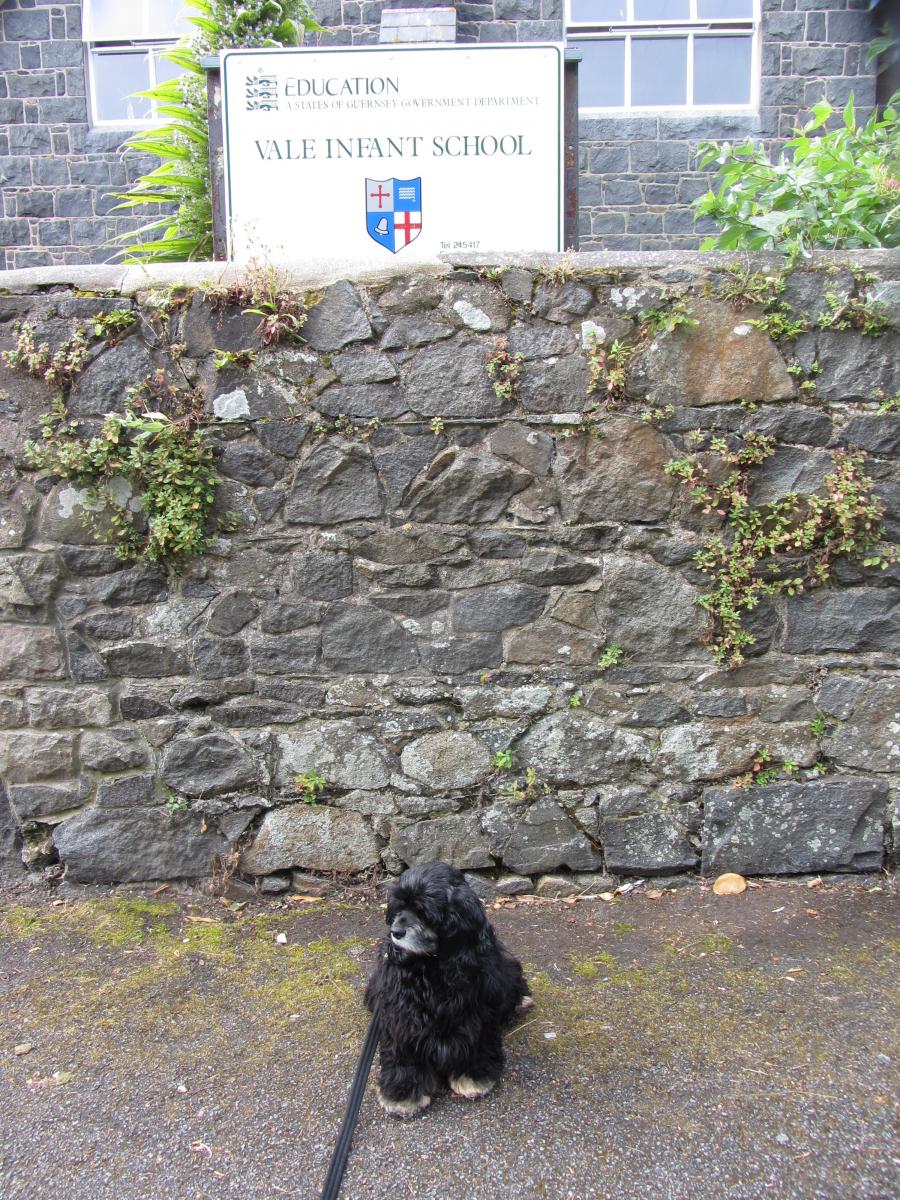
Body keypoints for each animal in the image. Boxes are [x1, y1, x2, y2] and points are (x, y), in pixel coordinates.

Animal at [362, 864, 532, 1113]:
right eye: (398, 907)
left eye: (423, 911)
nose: (396, 932)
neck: (434, 962)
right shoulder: (401, 1010)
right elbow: (402, 1048)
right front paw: (402, 1092)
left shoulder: (475, 1007)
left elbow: (477, 1038)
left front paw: (474, 1074)